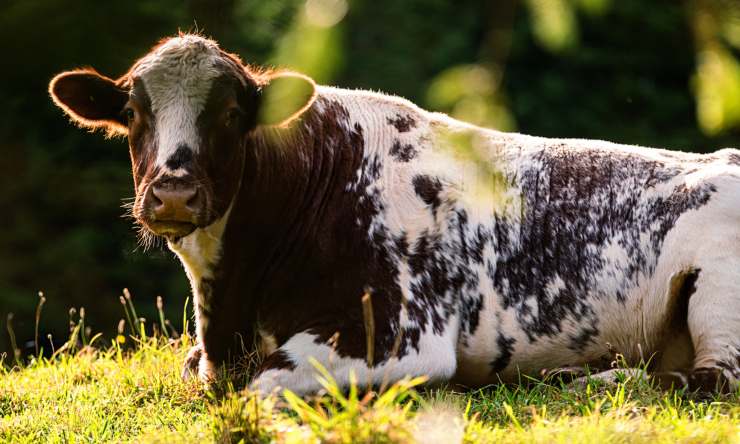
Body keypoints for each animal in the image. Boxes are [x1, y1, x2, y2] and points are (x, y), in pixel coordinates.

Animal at [49, 34, 740, 396]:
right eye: (133, 112)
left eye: (230, 113)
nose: (172, 193)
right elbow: (196, 367)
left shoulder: (399, 333)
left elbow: (264, 382)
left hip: (718, 297)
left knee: (708, 380)